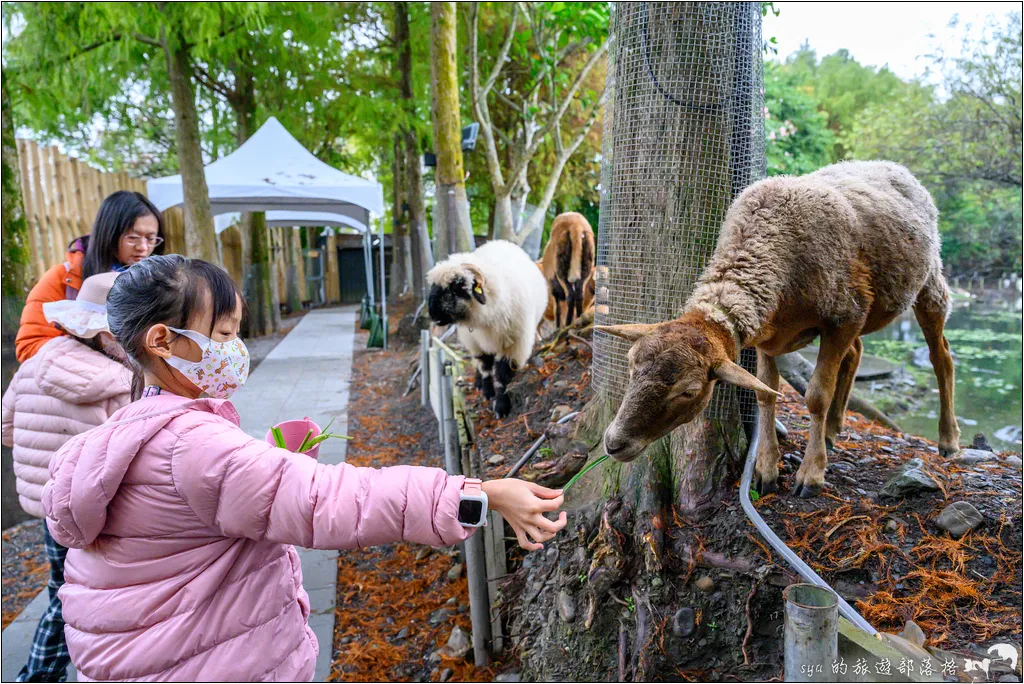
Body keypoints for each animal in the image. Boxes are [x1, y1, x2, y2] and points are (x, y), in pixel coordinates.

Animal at [425, 239, 548, 417]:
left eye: (457, 286)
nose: (433, 315)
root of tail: (498, 241)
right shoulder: (477, 343)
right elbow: (485, 368)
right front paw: (488, 392)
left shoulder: (514, 346)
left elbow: (503, 376)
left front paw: (501, 406)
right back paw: (478, 382)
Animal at [598, 162, 954, 499]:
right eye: (630, 366)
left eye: (689, 391)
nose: (614, 443)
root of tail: (896, 167)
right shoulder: (769, 334)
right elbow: (765, 393)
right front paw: (766, 469)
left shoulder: (846, 315)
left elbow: (816, 396)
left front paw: (811, 474)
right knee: (856, 354)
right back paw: (832, 429)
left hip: (929, 281)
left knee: (942, 358)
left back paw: (948, 440)